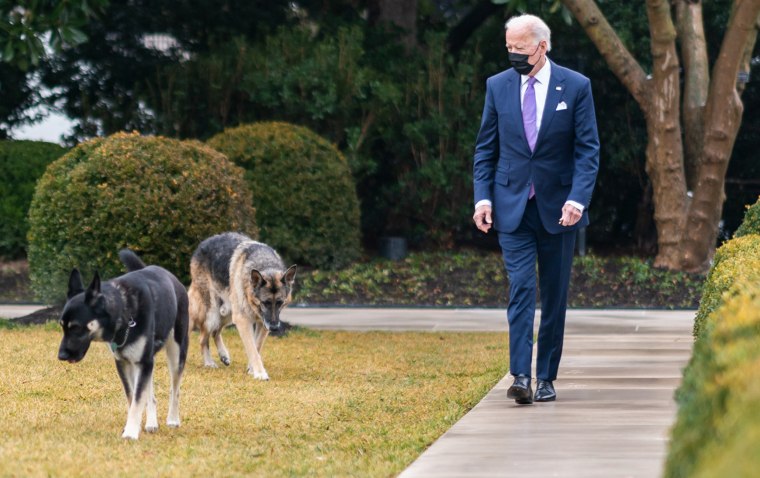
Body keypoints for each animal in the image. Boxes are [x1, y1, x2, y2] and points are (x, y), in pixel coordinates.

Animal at [57, 250, 189, 440]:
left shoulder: (142, 362)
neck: (124, 312)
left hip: (176, 352)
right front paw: (132, 426)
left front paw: (131, 432)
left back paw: (172, 419)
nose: (61, 356)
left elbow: (138, 399)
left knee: (175, 390)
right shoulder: (125, 363)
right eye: (61, 326)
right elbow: (133, 397)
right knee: (150, 395)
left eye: (75, 327)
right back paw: (151, 423)